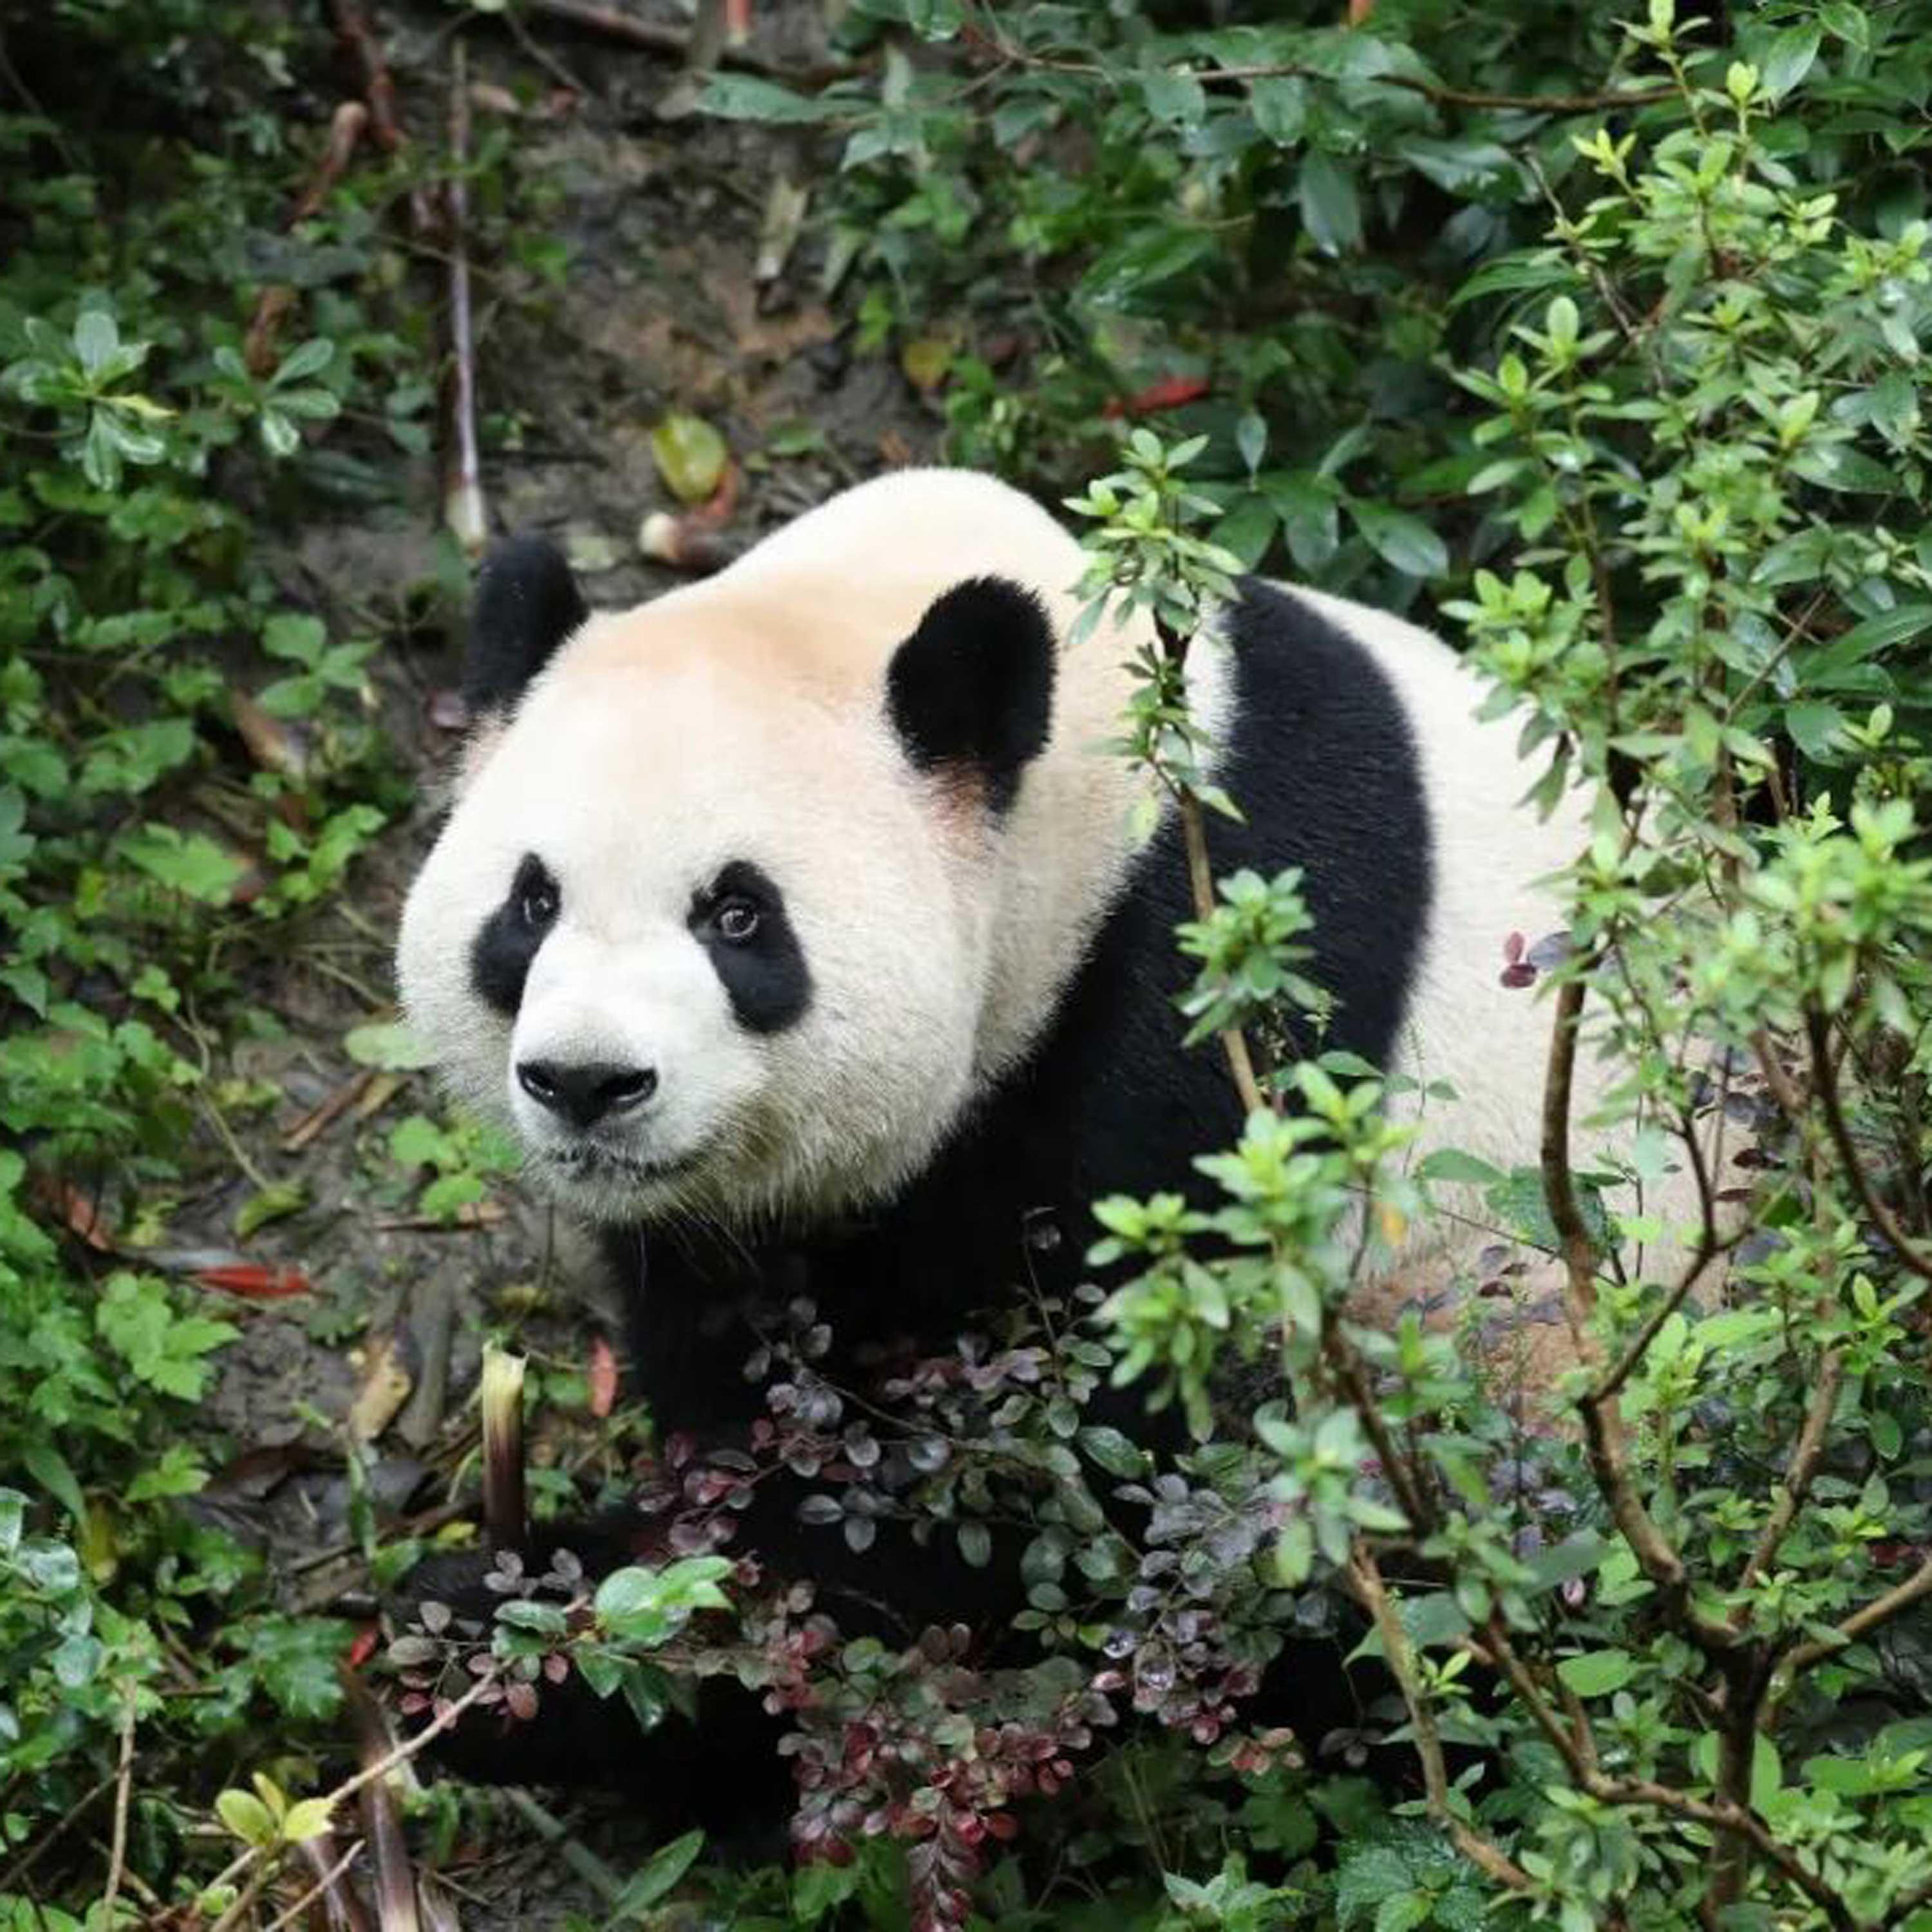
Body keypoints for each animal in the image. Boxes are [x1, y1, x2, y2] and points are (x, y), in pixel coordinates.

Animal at [394, 467, 1598, 1825]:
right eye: (531, 903)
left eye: (739, 917)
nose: (587, 1083)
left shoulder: (1206, 1021)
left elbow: (1031, 1499)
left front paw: (548, 1650)